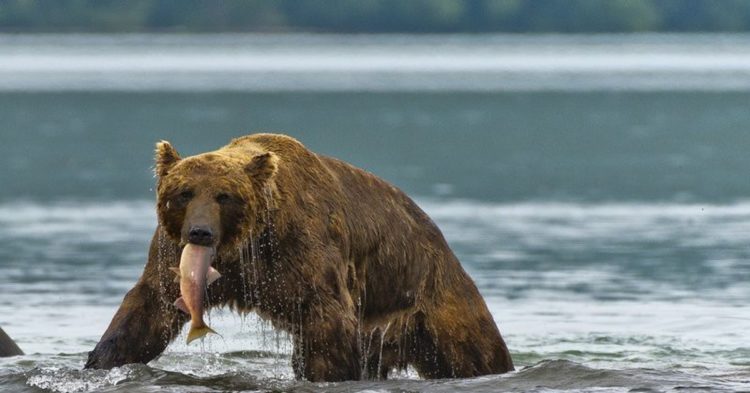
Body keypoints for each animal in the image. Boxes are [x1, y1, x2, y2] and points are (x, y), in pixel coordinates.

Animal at [83, 132, 516, 380]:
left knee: (474, 352)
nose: (200, 232)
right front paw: (100, 361)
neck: (246, 243)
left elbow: (327, 324)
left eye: (224, 195)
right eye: (184, 192)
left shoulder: (302, 253)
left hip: (429, 301)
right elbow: (146, 312)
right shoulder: (176, 256)